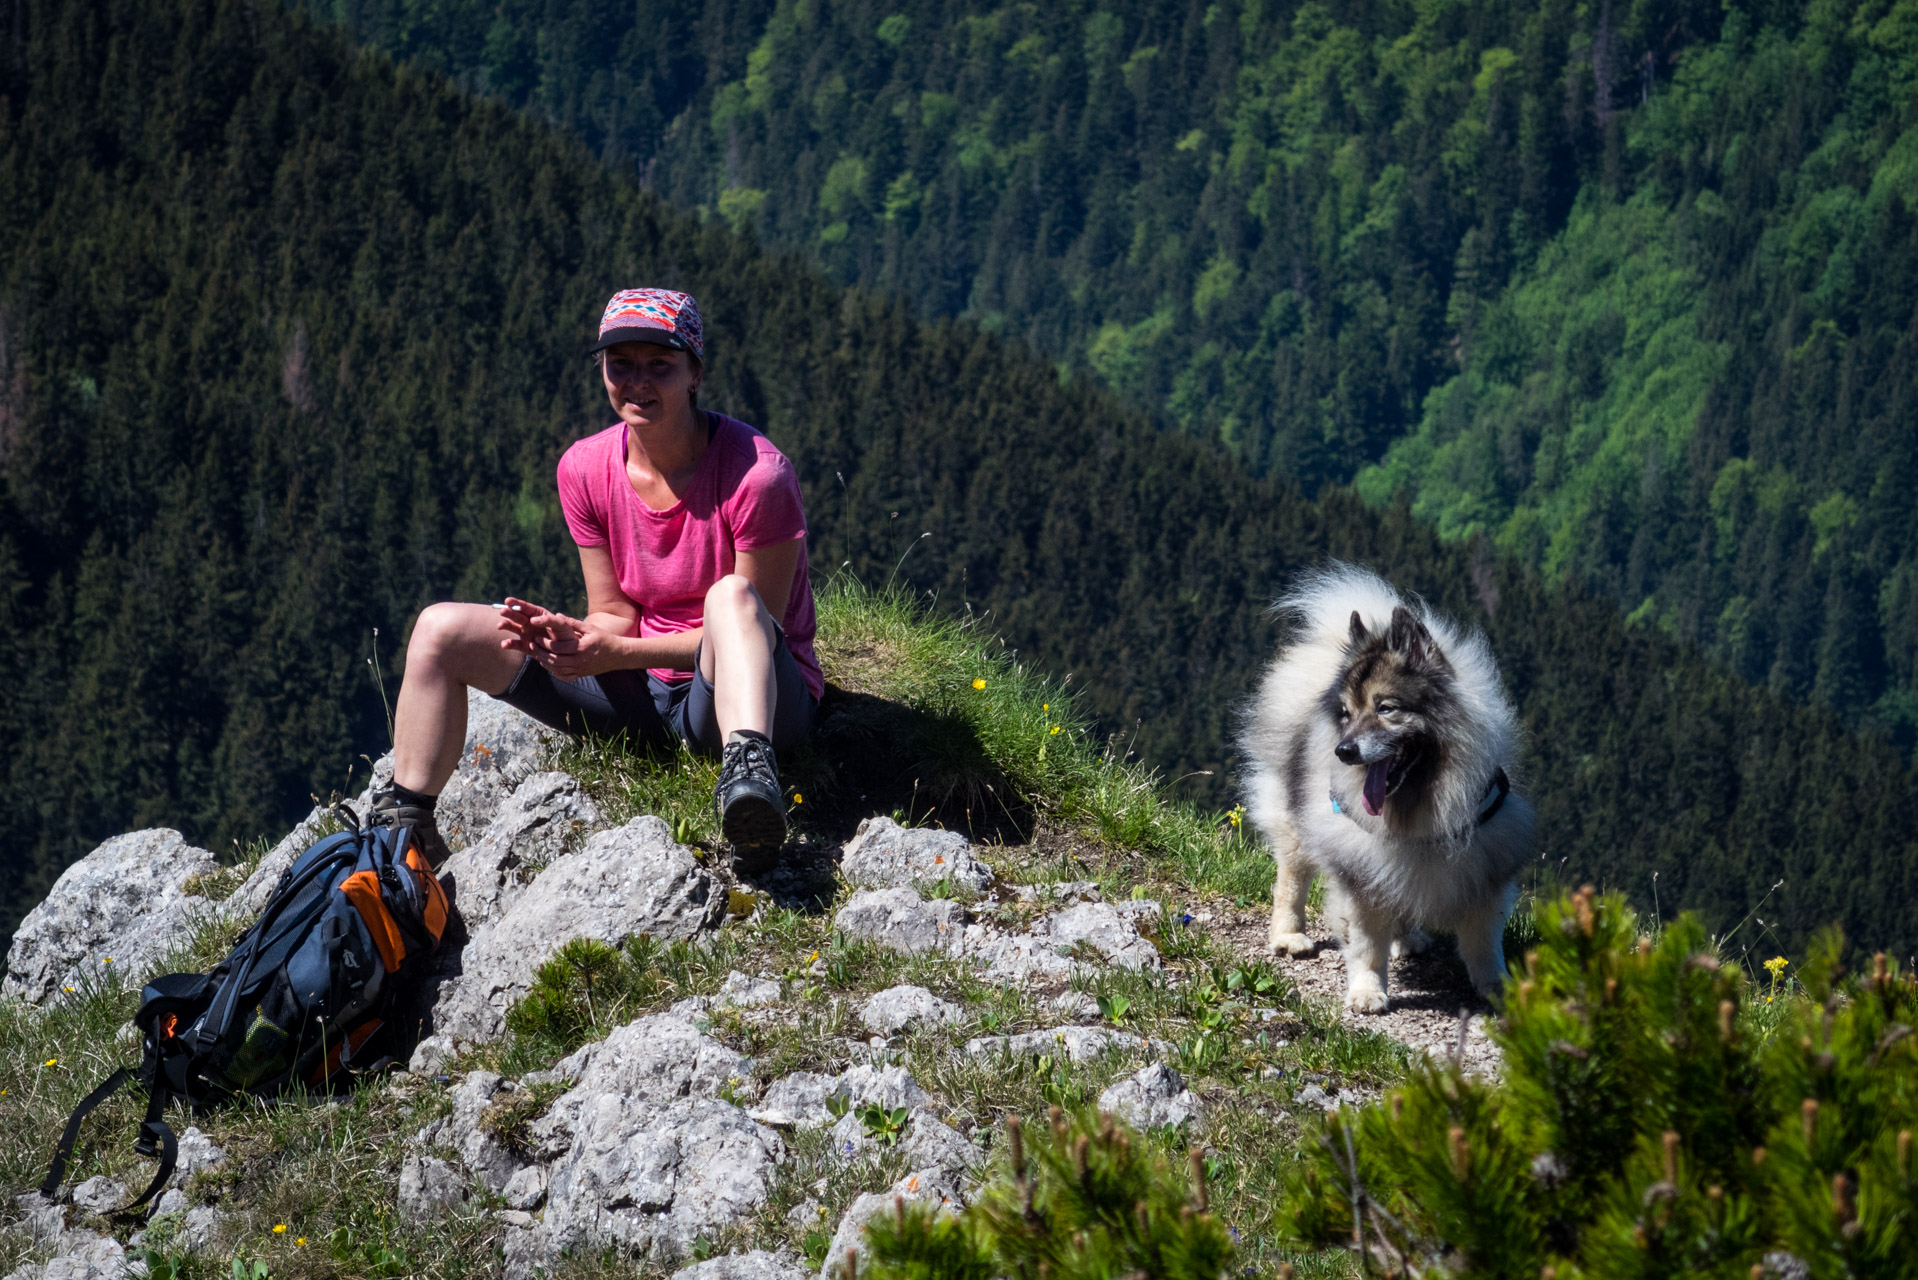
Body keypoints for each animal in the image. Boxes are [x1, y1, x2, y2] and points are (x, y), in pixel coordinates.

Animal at [1235, 564, 1534, 1013]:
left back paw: (1407, 939)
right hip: (1296, 823)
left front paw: (1497, 986)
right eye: (1346, 713)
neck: (1421, 802)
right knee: (1292, 877)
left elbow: (1485, 943)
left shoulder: (1486, 866)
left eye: (1386, 708)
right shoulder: (1362, 871)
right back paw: (1290, 936)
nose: (1343, 751)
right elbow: (1367, 944)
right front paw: (1367, 991)